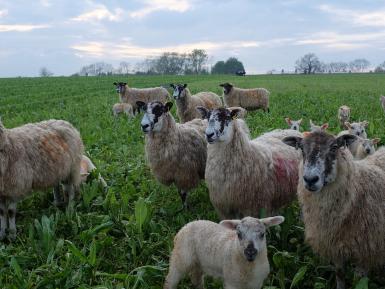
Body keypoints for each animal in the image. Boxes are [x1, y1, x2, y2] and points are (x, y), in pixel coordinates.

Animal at [282, 130, 384, 288]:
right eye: (302, 149)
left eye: (334, 147)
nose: (310, 179)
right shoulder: (334, 245)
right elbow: (340, 274)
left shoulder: (367, 250)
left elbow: (359, 281)